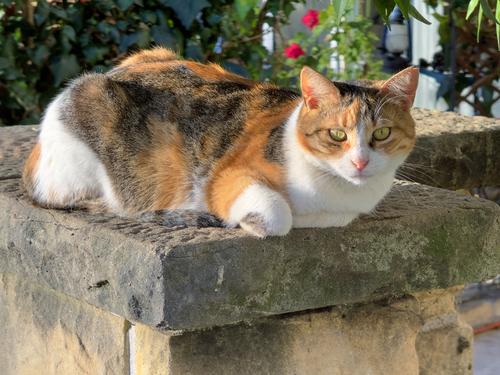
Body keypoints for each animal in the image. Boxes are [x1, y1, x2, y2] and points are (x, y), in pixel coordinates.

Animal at [23, 47, 418, 238]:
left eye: (381, 134)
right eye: (337, 135)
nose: (360, 162)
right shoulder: (223, 178)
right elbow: (277, 214)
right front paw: (249, 221)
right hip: (90, 106)